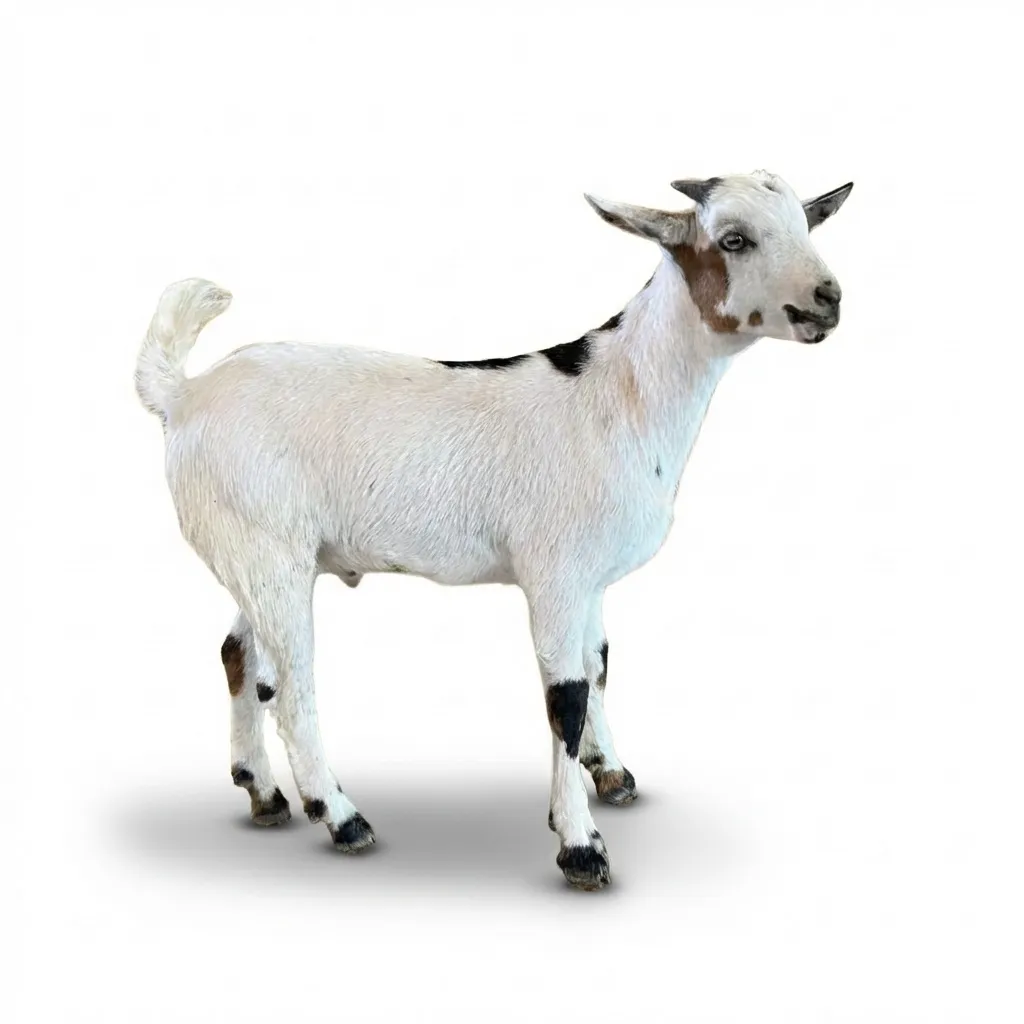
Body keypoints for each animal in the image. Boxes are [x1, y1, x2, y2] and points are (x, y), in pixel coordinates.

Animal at [135, 170, 852, 891]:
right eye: (733, 239)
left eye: (804, 225)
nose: (829, 297)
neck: (622, 395)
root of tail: (184, 396)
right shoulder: (554, 573)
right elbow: (566, 698)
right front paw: (580, 844)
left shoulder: (591, 580)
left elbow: (599, 668)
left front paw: (612, 775)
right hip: (267, 549)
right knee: (291, 683)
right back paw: (341, 817)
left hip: (256, 548)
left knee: (239, 655)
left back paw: (263, 793)